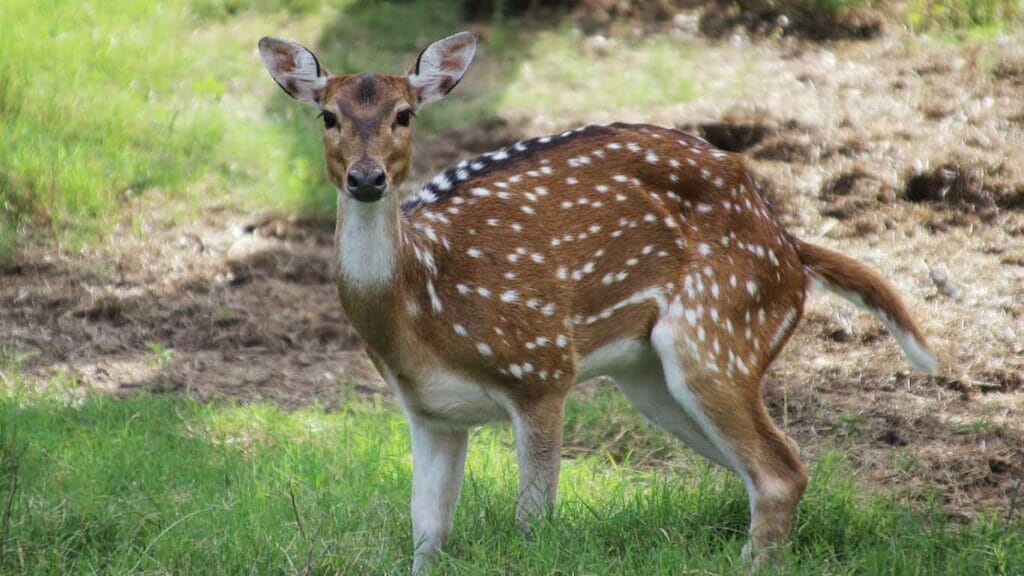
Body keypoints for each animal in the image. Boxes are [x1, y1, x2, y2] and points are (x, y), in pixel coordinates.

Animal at [258, 31, 939, 572]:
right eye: (327, 115)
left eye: (405, 114)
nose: (366, 178)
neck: (425, 305)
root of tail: (791, 250)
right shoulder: (429, 412)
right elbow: (426, 536)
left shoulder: (540, 368)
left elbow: (533, 522)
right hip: (652, 380)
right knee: (772, 469)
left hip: (718, 332)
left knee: (780, 471)